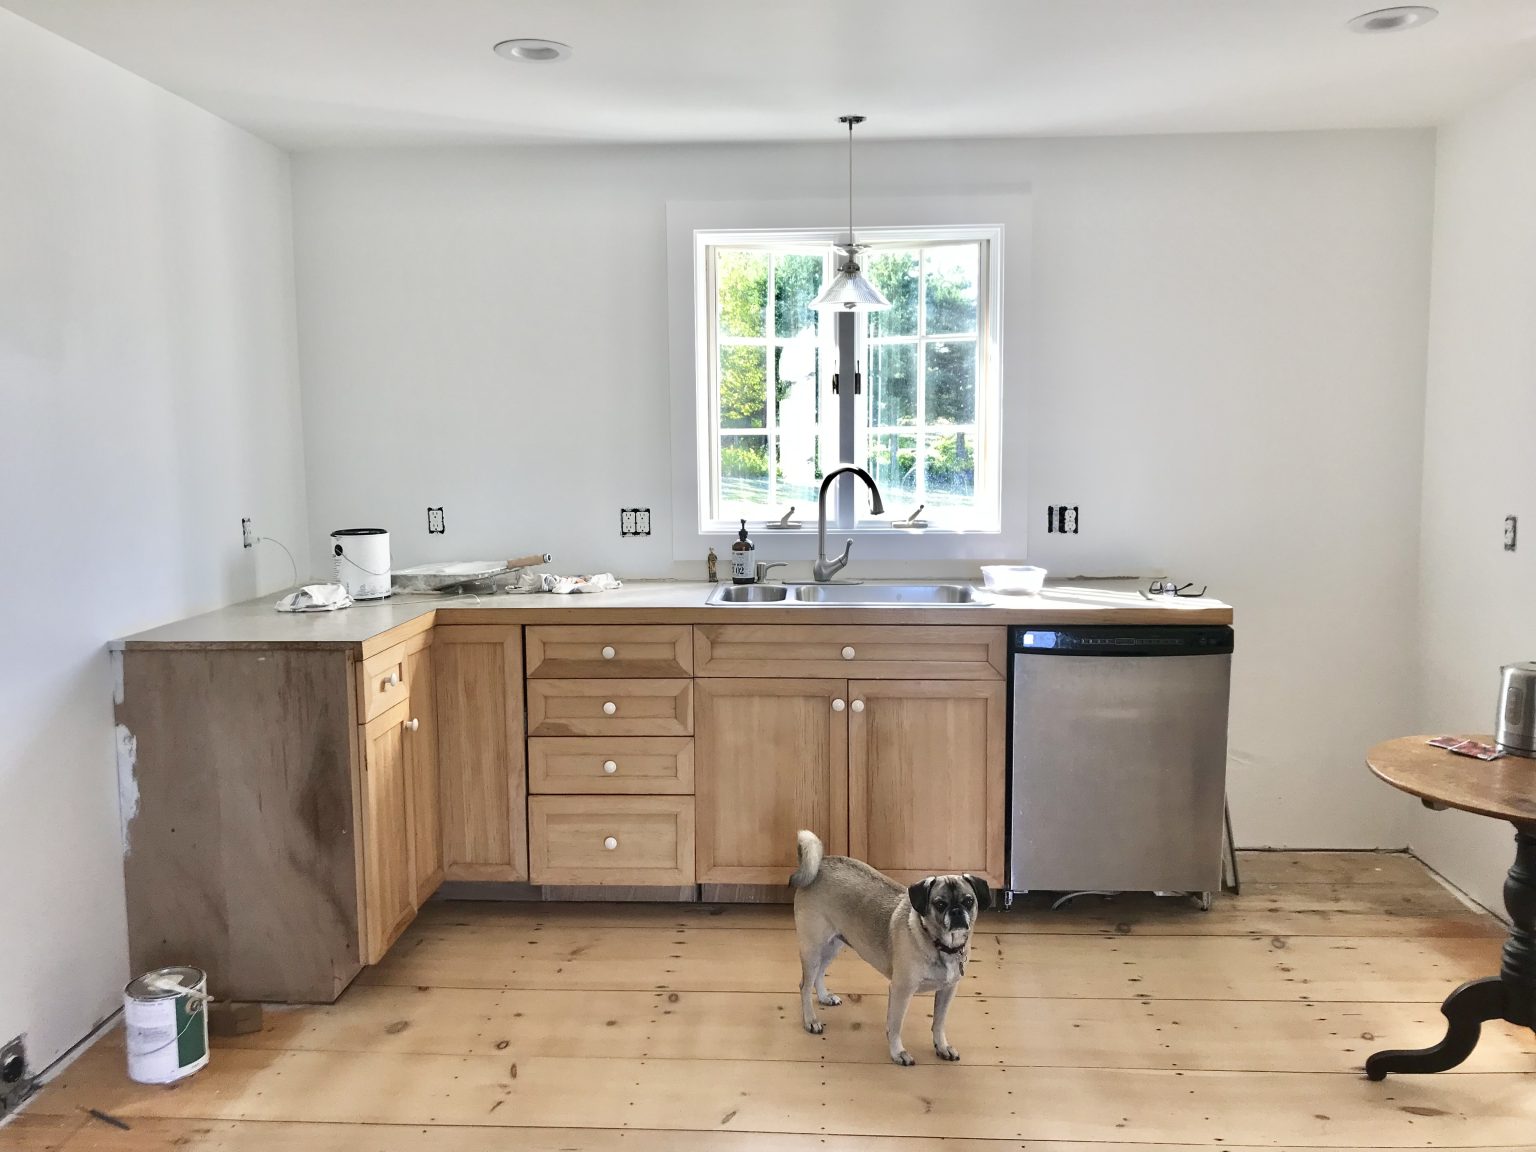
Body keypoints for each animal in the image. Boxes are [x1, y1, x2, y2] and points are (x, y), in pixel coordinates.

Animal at [789, 829, 990, 1066]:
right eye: (940, 904)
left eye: (969, 901)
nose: (957, 911)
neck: (939, 943)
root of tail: (820, 864)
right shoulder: (901, 990)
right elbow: (895, 1025)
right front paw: (897, 1052)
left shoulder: (947, 991)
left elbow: (938, 1023)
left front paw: (941, 1047)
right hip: (813, 948)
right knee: (804, 985)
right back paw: (810, 1020)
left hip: (832, 945)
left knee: (819, 974)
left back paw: (824, 997)